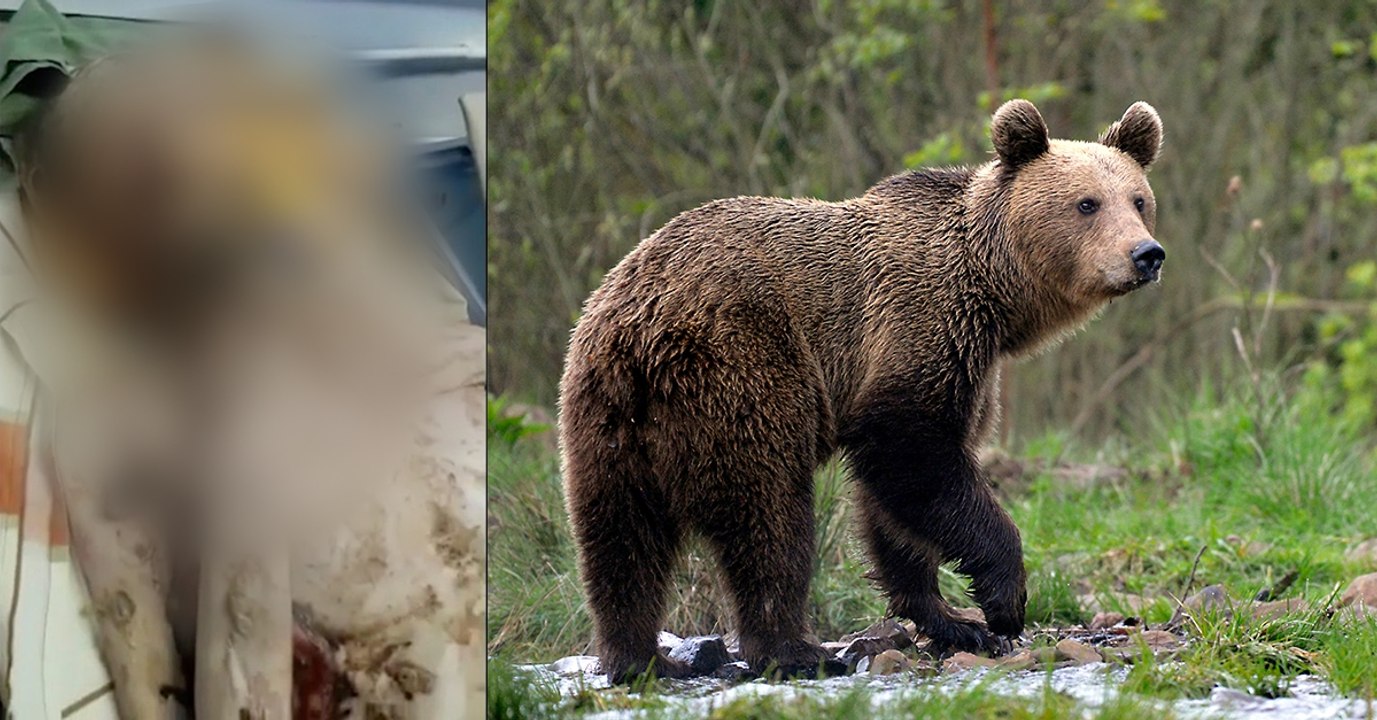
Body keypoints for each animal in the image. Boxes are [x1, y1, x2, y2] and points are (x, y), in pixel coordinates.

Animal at [559, 99, 1165, 682]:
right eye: (1087, 204)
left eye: (1138, 200)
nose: (1146, 254)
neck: (992, 295)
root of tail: (640, 328)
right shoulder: (918, 331)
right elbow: (914, 456)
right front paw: (1002, 603)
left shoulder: (968, 365)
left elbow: (895, 504)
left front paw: (952, 621)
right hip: (741, 370)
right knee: (769, 515)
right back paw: (794, 650)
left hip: (606, 418)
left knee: (620, 541)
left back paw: (639, 658)